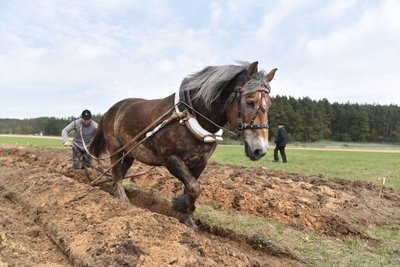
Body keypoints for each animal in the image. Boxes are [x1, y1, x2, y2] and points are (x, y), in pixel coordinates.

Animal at [90, 61, 278, 229]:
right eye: (250, 102)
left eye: (269, 104)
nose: (260, 150)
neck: (189, 116)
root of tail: (111, 110)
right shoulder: (171, 158)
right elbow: (194, 187)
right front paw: (180, 207)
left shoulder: (200, 162)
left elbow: (191, 187)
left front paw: (186, 217)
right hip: (115, 147)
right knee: (116, 172)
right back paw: (122, 200)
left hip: (130, 151)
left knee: (121, 171)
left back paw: (113, 193)